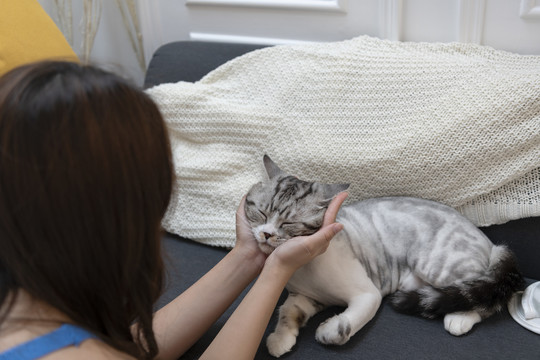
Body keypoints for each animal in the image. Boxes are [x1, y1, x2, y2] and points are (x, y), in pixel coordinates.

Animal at [244, 155, 524, 358]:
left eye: (289, 223)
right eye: (260, 212)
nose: (267, 234)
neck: (303, 268)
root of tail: (492, 243)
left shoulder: (368, 294)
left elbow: (344, 326)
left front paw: (329, 329)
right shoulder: (304, 296)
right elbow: (286, 311)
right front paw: (280, 338)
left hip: (438, 265)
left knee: (487, 294)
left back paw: (459, 317)